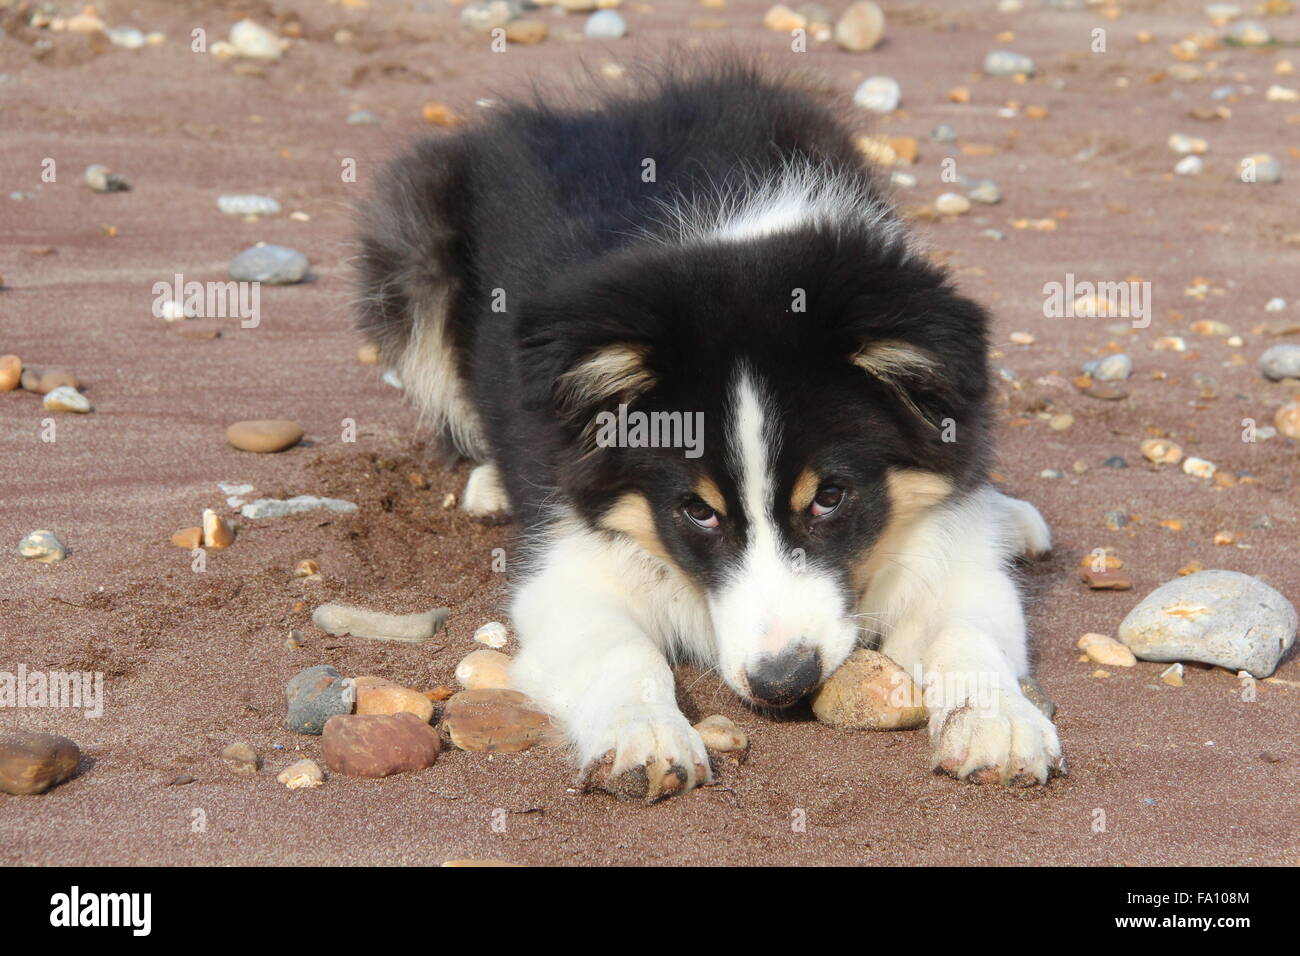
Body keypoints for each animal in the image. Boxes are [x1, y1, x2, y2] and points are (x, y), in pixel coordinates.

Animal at [351, 61, 1060, 801]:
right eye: (697, 511)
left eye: (830, 496)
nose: (783, 683)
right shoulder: (568, 561)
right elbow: (620, 651)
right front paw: (644, 736)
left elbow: (967, 630)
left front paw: (1000, 725)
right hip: (414, 253)